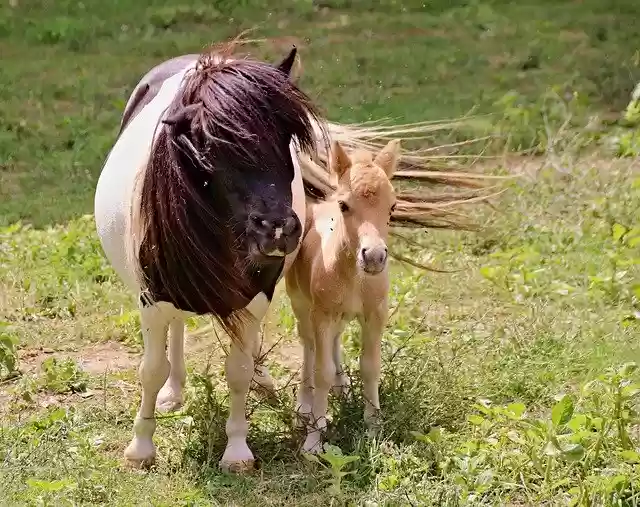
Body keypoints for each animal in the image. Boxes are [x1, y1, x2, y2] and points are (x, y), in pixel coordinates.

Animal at [285, 139, 400, 453]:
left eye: (393, 206)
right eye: (344, 205)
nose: (374, 257)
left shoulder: (376, 313)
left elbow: (370, 367)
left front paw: (374, 428)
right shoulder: (321, 314)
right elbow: (320, 371)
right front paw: (313, 440)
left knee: (334, 340)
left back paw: (342, 388)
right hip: (301, 305)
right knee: (309, 347)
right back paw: (305, 407)